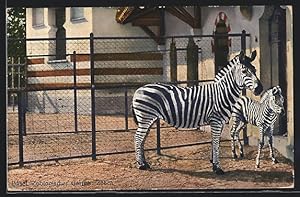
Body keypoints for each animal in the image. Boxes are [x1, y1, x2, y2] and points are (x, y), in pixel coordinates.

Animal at [132, 50, 262, 175]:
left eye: (255, 70)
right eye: (244, 71)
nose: (259, 89)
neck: (222, 93)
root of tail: (139, 89)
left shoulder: (219, 123)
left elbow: (216, 142)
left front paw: (213, 163)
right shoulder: (216, 121)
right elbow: (216, 143)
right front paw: (217, 168)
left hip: (149, 119)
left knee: (142, 139)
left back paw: (145, 163)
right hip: (145, 118)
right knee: (138, 138)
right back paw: (141, 165)